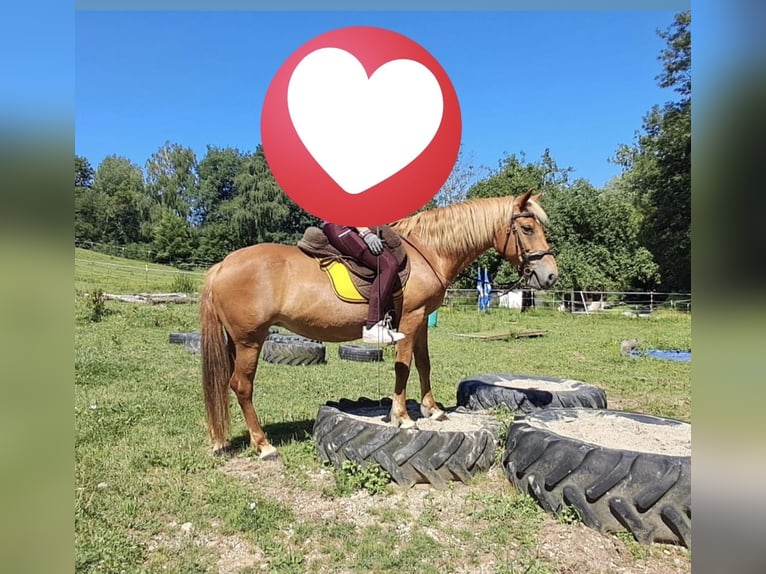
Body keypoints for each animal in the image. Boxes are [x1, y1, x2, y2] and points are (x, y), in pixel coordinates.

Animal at [200, 190, 558, 459]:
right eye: (527, 229)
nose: (551, 275)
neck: (429, 250)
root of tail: (221, 265)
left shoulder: (422, 321)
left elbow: (424, 364)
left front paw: (432, 409)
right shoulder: (411, 318)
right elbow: (404, 366)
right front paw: (402, 417)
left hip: (236, 341)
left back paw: (221, 439)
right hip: (250, 340)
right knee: (241, 386)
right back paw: (263, 445)